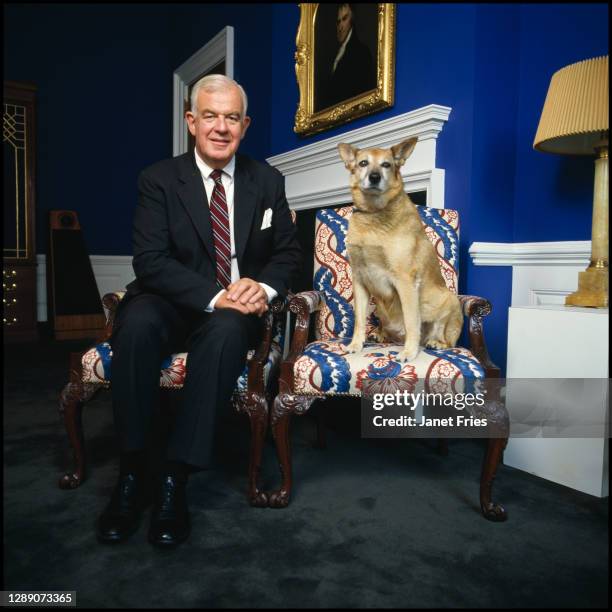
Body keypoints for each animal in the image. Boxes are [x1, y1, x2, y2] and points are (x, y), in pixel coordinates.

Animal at [338, 136, 462, 360]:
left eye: (386, 165)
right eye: (363, 163)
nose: (375, 177)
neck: (373, 215)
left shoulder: (405, 280)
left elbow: (412, 321)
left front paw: (409, 352)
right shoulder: (359, 279)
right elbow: (359, 320)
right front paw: (355, 344)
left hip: (450, 300)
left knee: (445, 337)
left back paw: (435, 342)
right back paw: (380, 333)